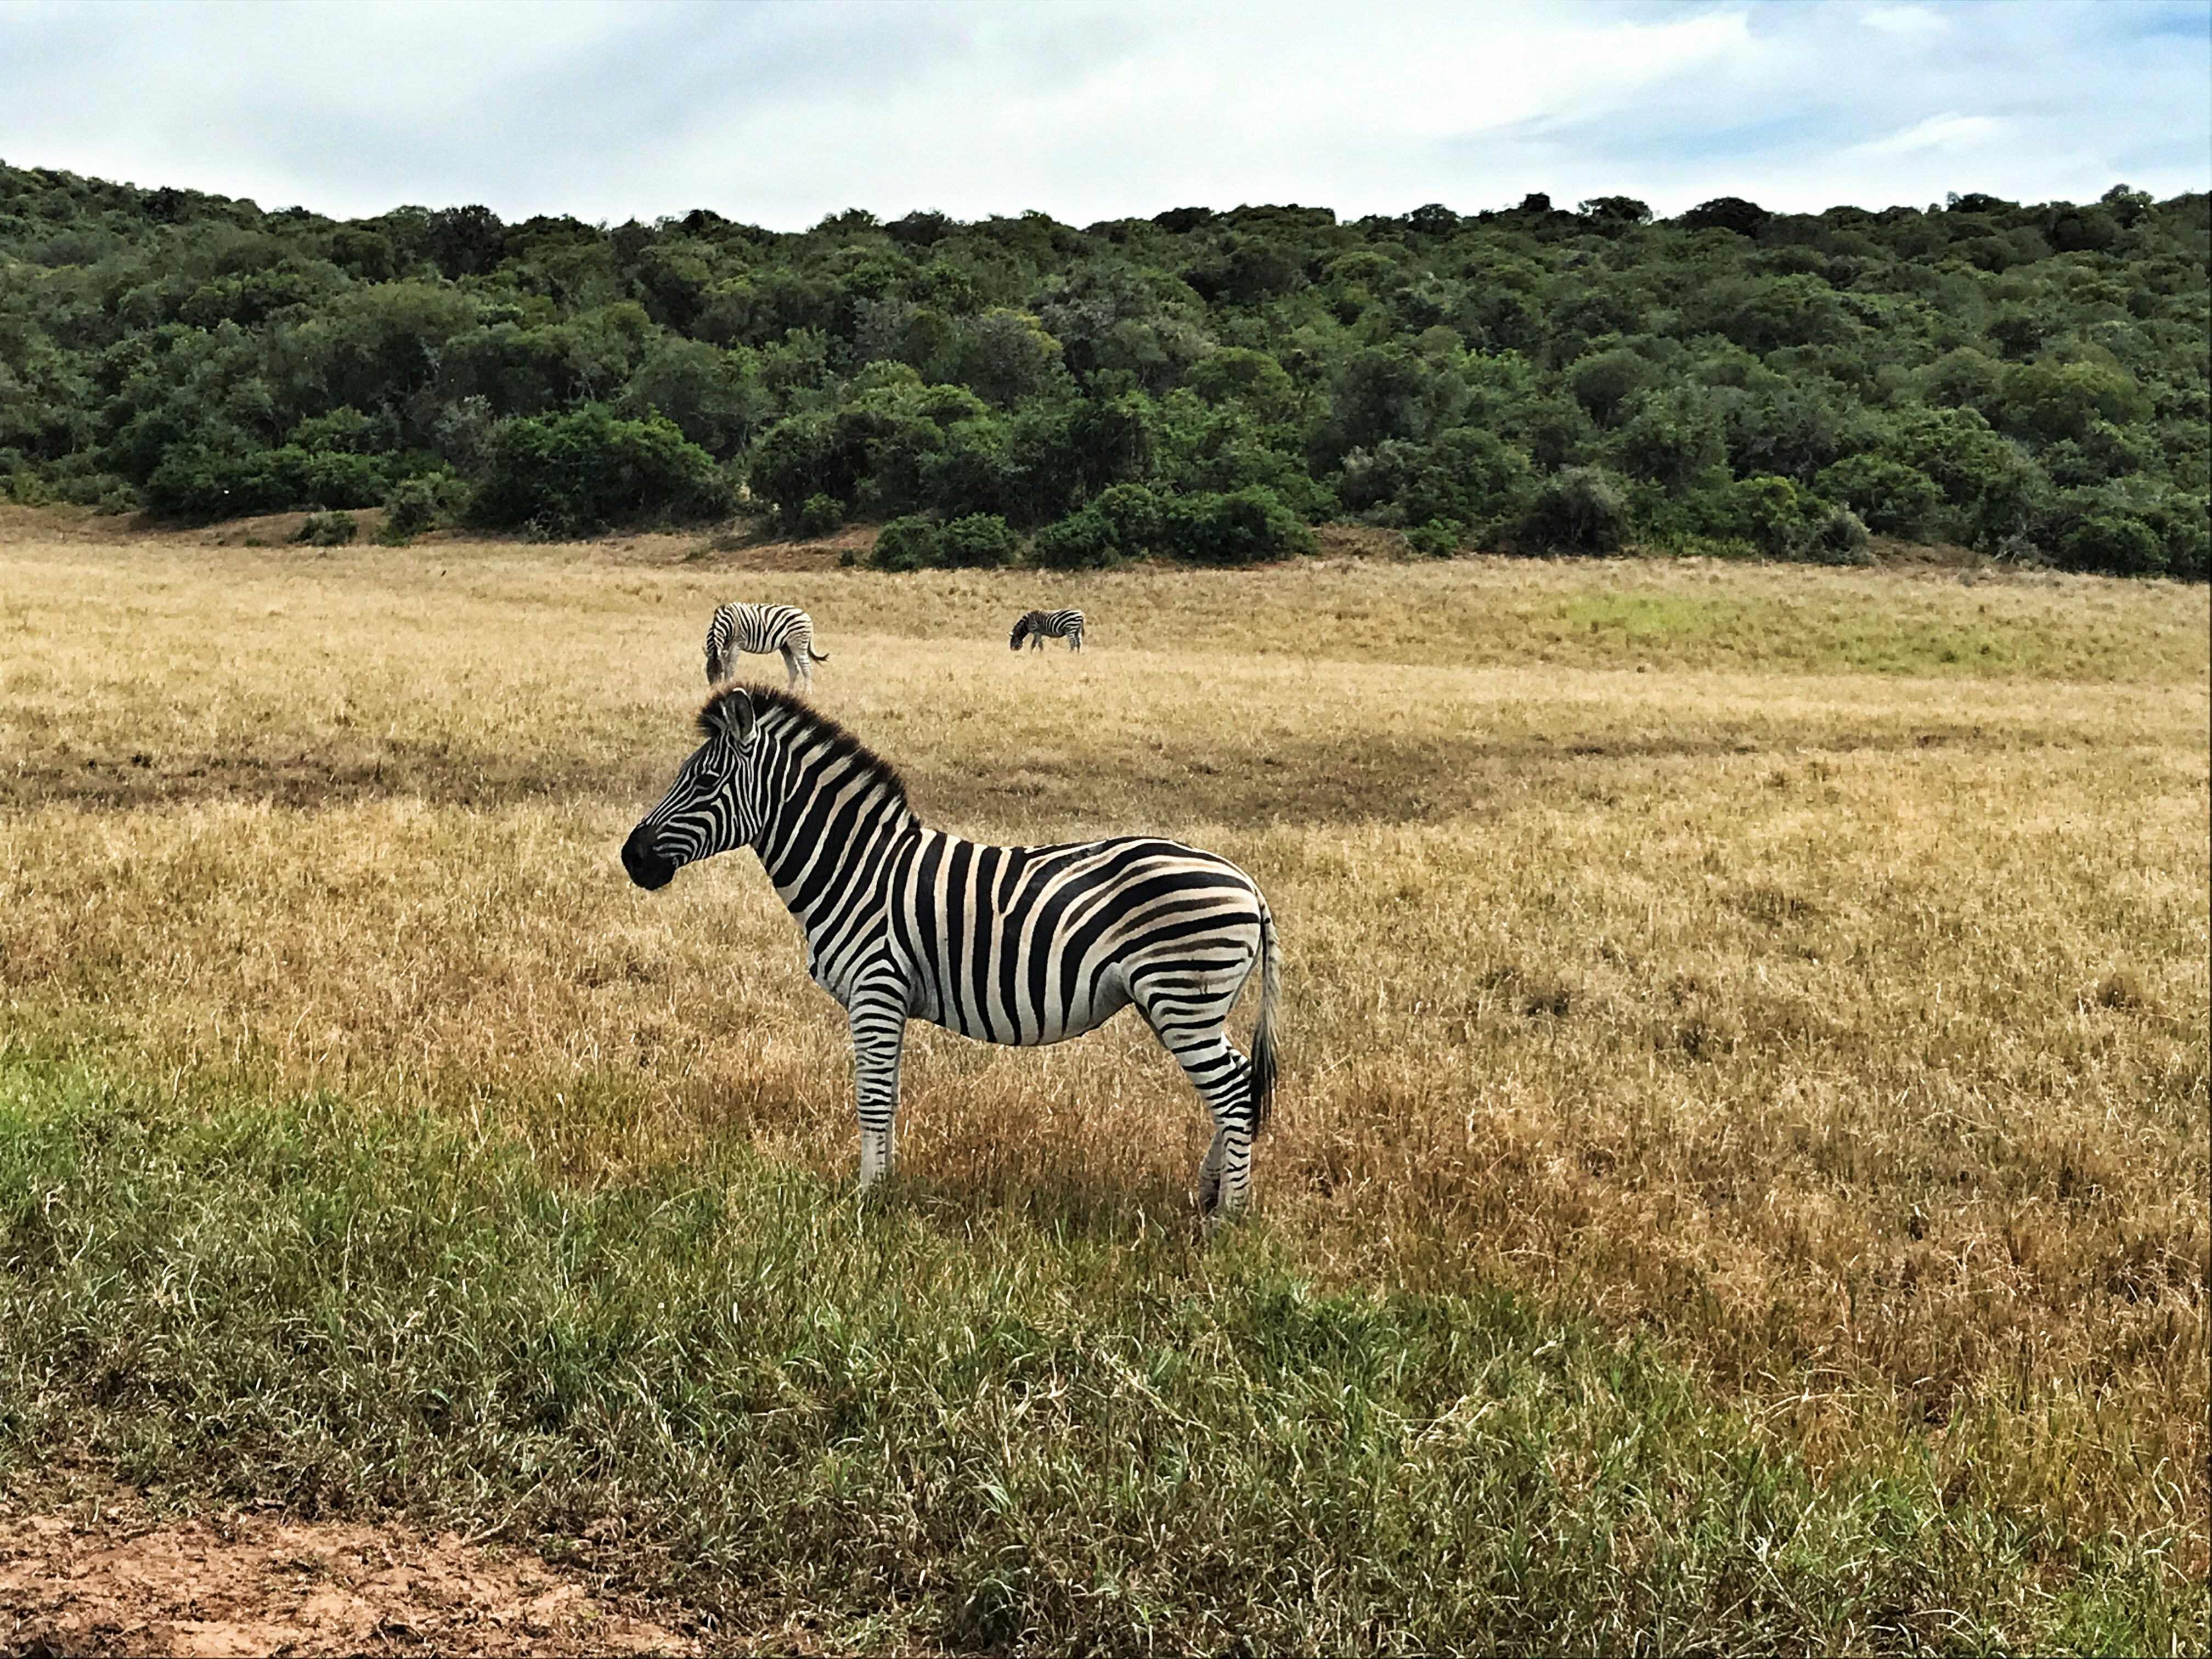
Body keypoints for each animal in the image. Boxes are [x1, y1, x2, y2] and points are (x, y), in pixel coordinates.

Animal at [621, 686, 1281, 1216]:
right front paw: (885, 1187)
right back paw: (1210, 1194)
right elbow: (887, 1096)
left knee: (1231, 1091)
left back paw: (1230, 1218)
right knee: (1239, 1083)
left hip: (1182, 1000)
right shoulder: (886, 1001)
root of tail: (1248, 883)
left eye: (705, 783)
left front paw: (867, 1198)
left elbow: (871, 1098)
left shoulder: (876, 989)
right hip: (1184, 1006)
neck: (854, 868)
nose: (632, 858)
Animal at [705, 603, 829, 692]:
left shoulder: (737, 643)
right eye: (708, 670)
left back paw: (807, 694)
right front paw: (726, 686)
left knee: (806, 668)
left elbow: (731, 667)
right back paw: (789, 693)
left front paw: (729, 686)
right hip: (786, 647)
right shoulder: (726, 646)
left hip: (798, 644)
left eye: (719, 671)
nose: (715, 689)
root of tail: (806, 615)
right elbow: (727, 666)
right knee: (794, 669)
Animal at [1010, 609, 1084, 652]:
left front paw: (1040, 655)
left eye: (1013, 641)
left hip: (1070, 628)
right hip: (1077, 630)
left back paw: (1070, 654)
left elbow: (1038, 645)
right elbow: (1034, 645)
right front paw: (1032, 655)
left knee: (1073, 643)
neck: (1027, 623)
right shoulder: (1037, 633)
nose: (1011, 649)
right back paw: (1077, 656)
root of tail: (1080, 614)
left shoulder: (1036, 631)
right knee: (1079, 643)